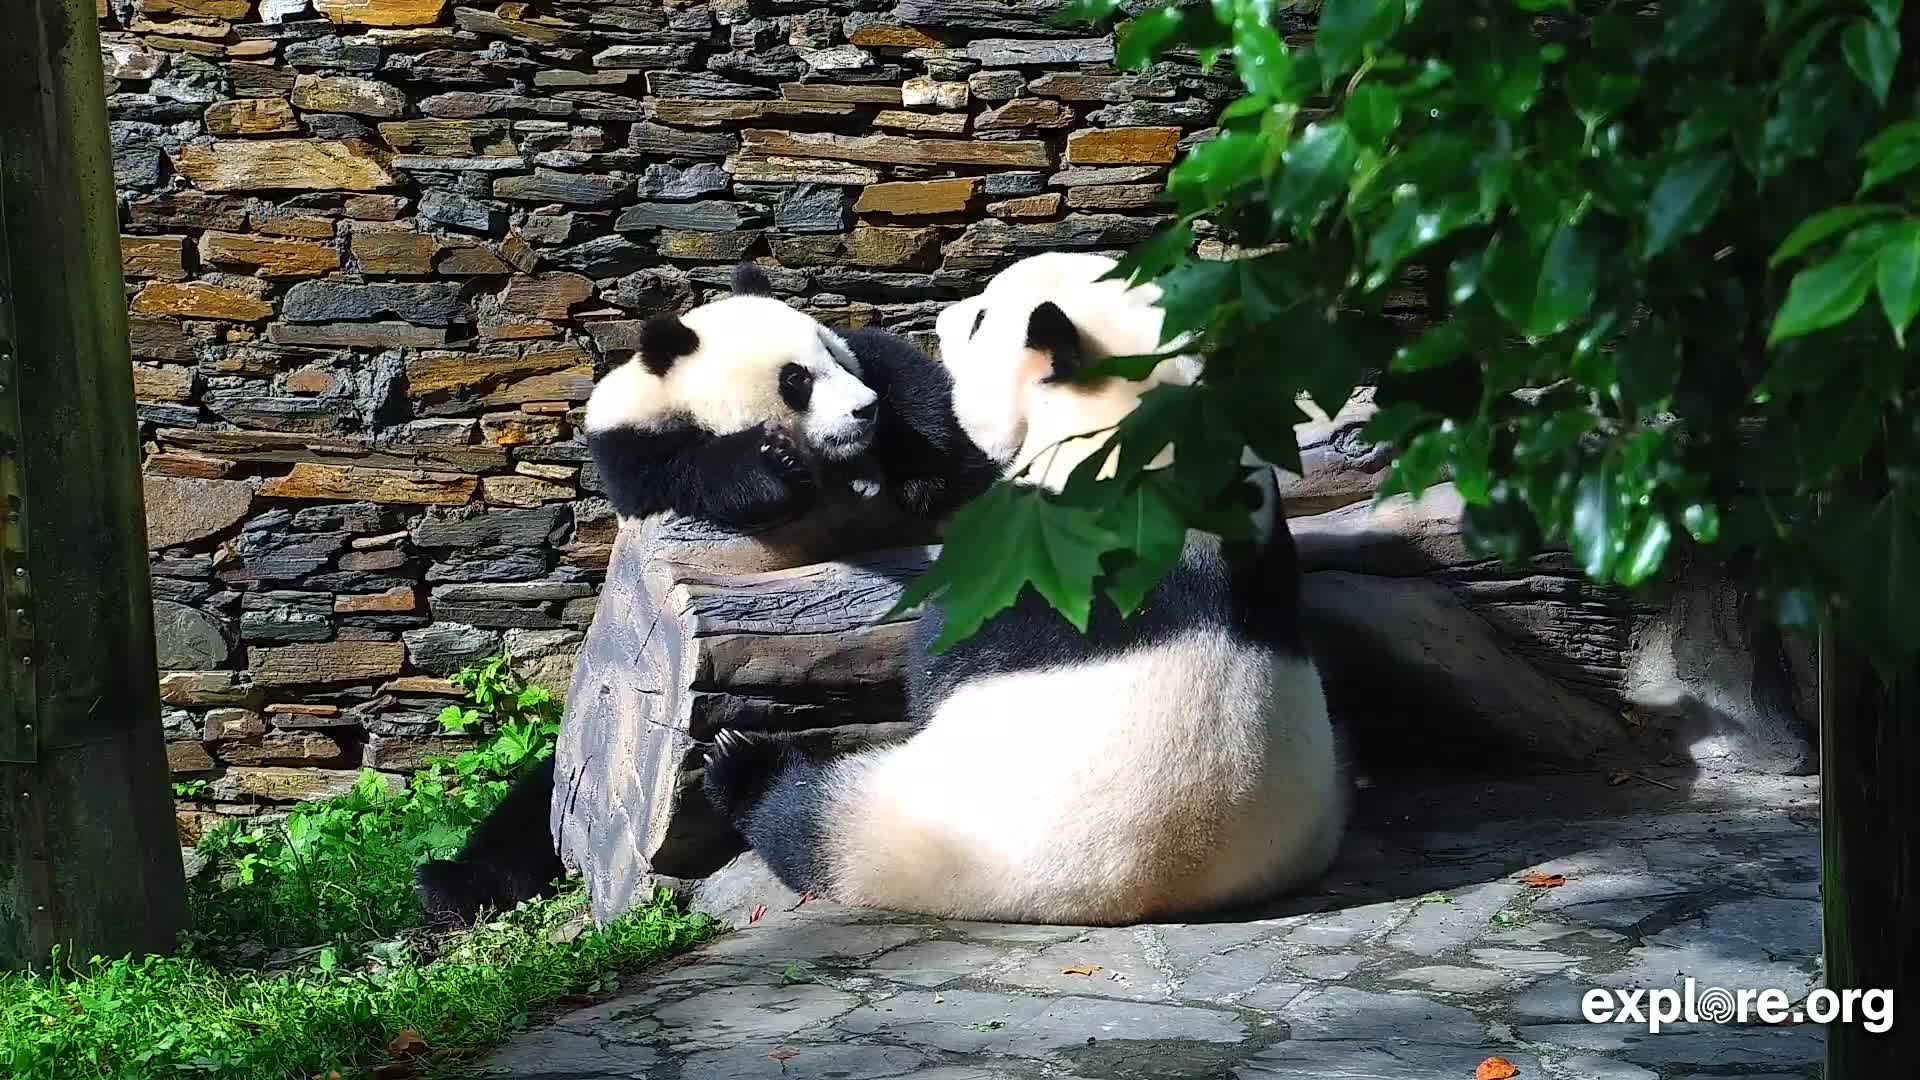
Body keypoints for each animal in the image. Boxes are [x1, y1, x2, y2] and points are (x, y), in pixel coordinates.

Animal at [698, 251, 1344, 926]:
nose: (942, 318)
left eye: (983, 318)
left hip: (927, 825)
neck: (1135, 425)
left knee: (815, 818)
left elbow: (939, 660)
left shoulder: (1031, 544)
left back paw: (743, 766)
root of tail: (1161, 894)